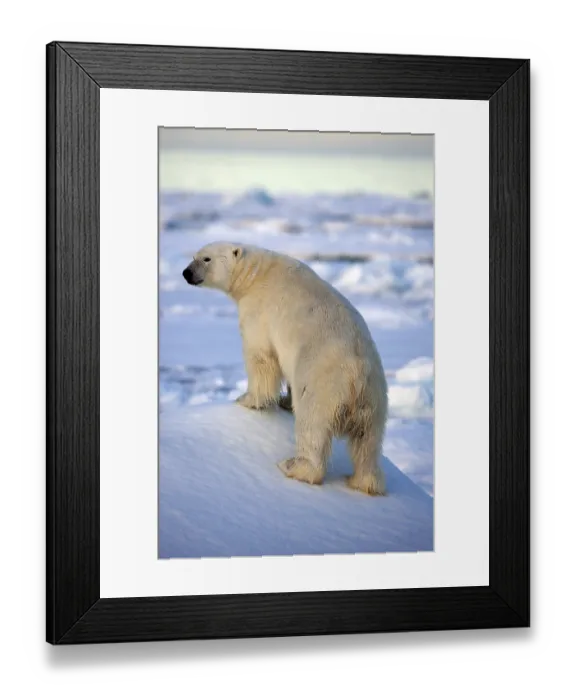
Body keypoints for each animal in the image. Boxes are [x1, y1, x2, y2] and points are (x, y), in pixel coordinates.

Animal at [182, 242, 388, 496]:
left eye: (206, 259)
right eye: (194, 256)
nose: (186, 273)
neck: (256, 273)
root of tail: (357, 374)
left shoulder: (259, 309)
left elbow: (261, 357)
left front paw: (247, 399)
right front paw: (284, 400)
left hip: (323, 383)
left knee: (312, 426)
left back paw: (294, 467)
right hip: (375, 400)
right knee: (367, 442)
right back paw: (364, 482)